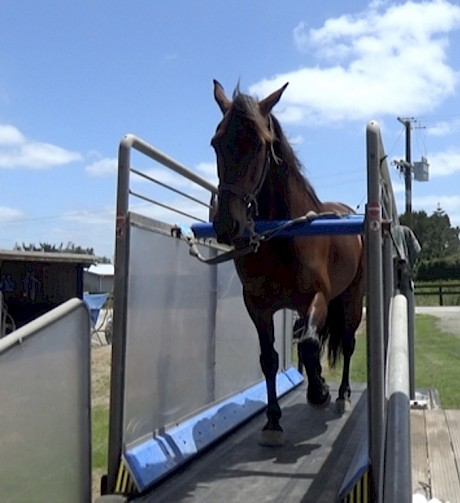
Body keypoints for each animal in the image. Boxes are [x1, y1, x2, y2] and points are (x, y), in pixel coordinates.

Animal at [210, 80, 364, 446]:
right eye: (215, 143)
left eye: (260, 144)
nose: (227, 225)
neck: (282, 235)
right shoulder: (257, 305)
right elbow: (270, 359)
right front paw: (273, 421)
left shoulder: (317, 297)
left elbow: (308, 346)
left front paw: (321, 391)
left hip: (352, 298)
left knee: (346, 342)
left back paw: (341, 394)